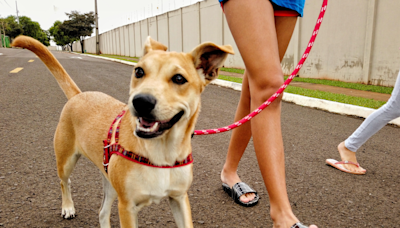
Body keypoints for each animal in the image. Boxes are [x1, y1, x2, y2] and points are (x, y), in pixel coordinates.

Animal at [12, 35, 233, 228]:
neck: (162, 153)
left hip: (109, 181)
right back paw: (67, 207)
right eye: (139, 72)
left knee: (102, 213)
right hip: (66, 161)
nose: (141, 101)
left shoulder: (179, 199)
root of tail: (78, 95)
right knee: (64, 182)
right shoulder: (127, 207)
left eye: (179, 78)